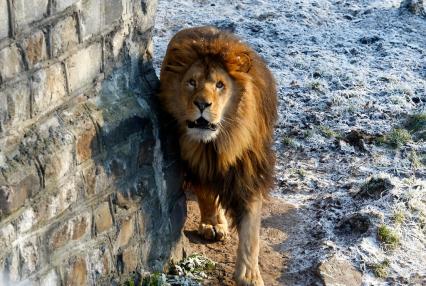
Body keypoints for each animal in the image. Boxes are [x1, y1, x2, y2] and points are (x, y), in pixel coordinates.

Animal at [158, 26, 278, 286]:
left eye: (220, 85)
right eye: (191, 82)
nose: (202, 104)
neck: (218, 144)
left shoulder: (249, 172)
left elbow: (251, 231)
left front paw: (250, 275)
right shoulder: (197, 163)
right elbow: (206, 193)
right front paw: (212, 223)